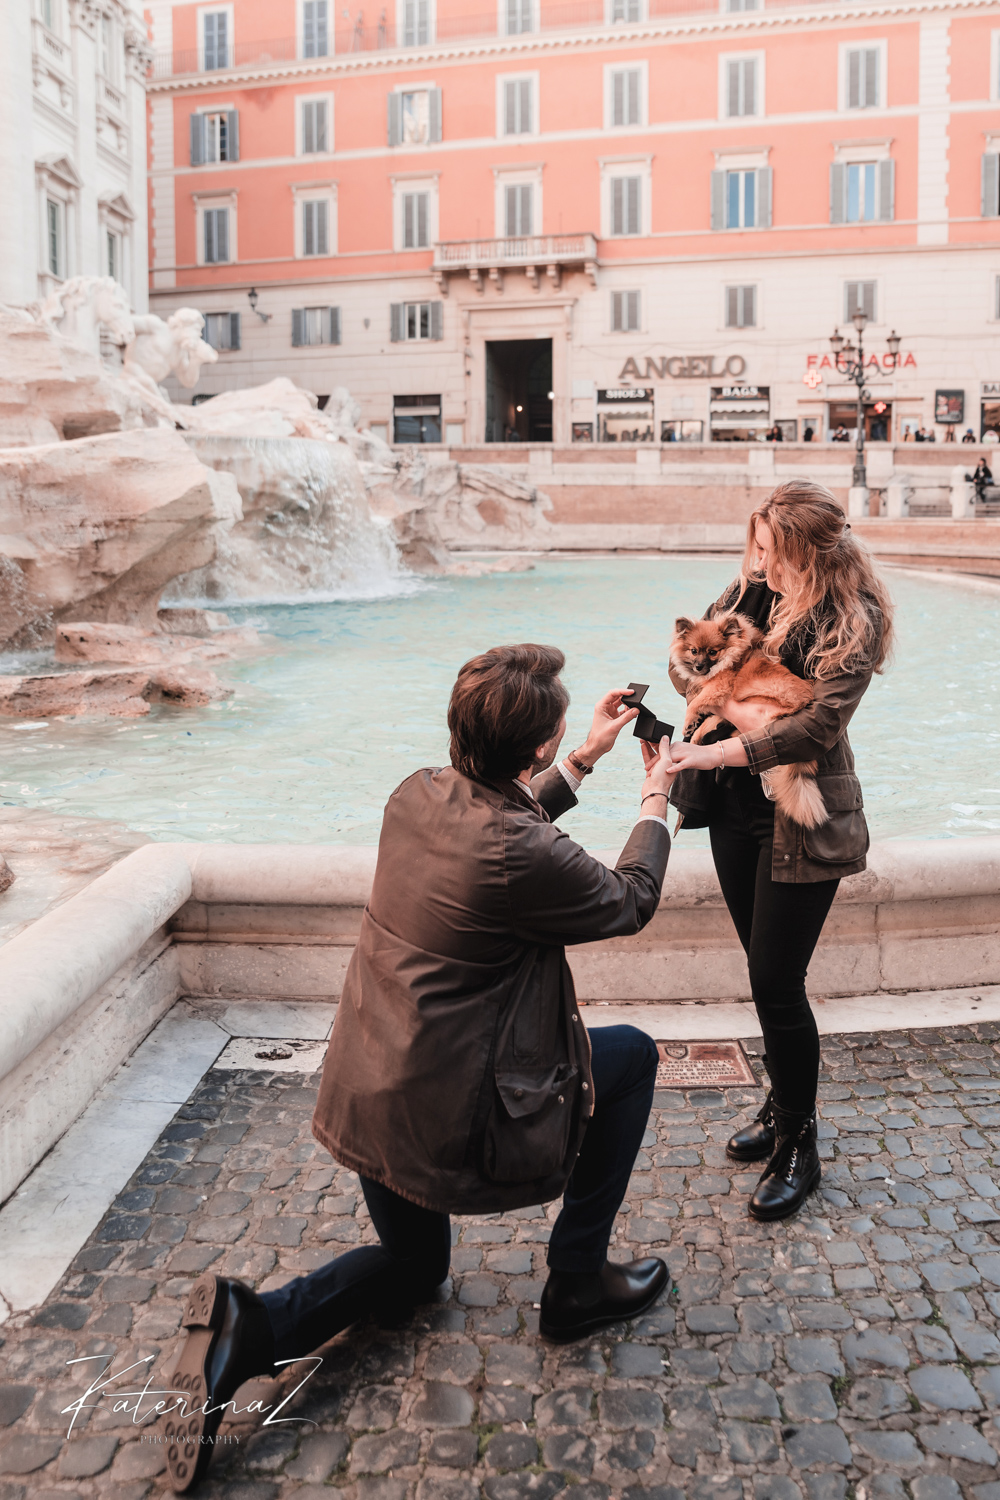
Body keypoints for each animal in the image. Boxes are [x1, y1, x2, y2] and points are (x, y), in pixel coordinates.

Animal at [668, 615, 827, 840]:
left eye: (712, 652)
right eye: (693, 651)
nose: (698, 667)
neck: (729, 659)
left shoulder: (720, 687)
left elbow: (697, 702)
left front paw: (689, 722)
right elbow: (711, 716)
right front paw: (697, 733)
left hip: (753, 696)